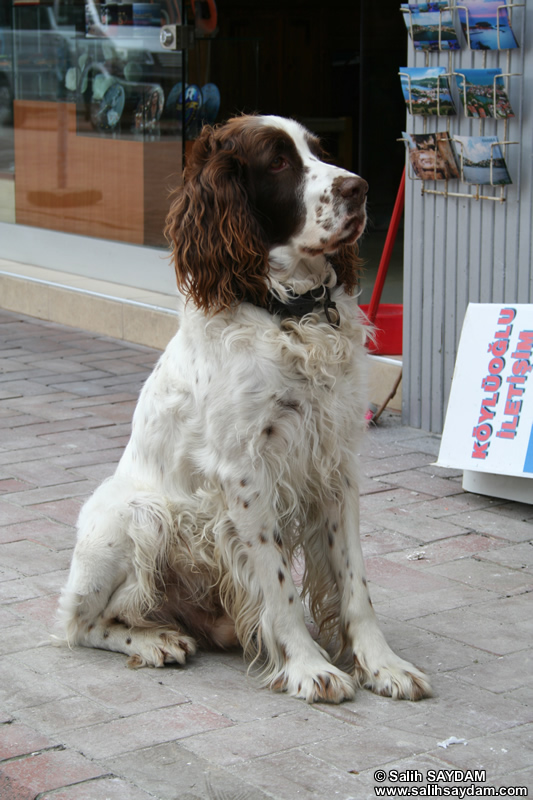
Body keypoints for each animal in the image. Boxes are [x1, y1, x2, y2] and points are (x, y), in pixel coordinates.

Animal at [58, 115, 430, 704]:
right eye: (276, 162)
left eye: (319, 149)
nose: (360, 188)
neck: (290, 314)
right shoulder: (245, 472)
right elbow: (279, 585)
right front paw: (309, 666)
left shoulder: (336, 463)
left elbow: (354, 581)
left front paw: (383, 664)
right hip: (133, 514)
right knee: (82, 621)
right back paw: (154, 641)